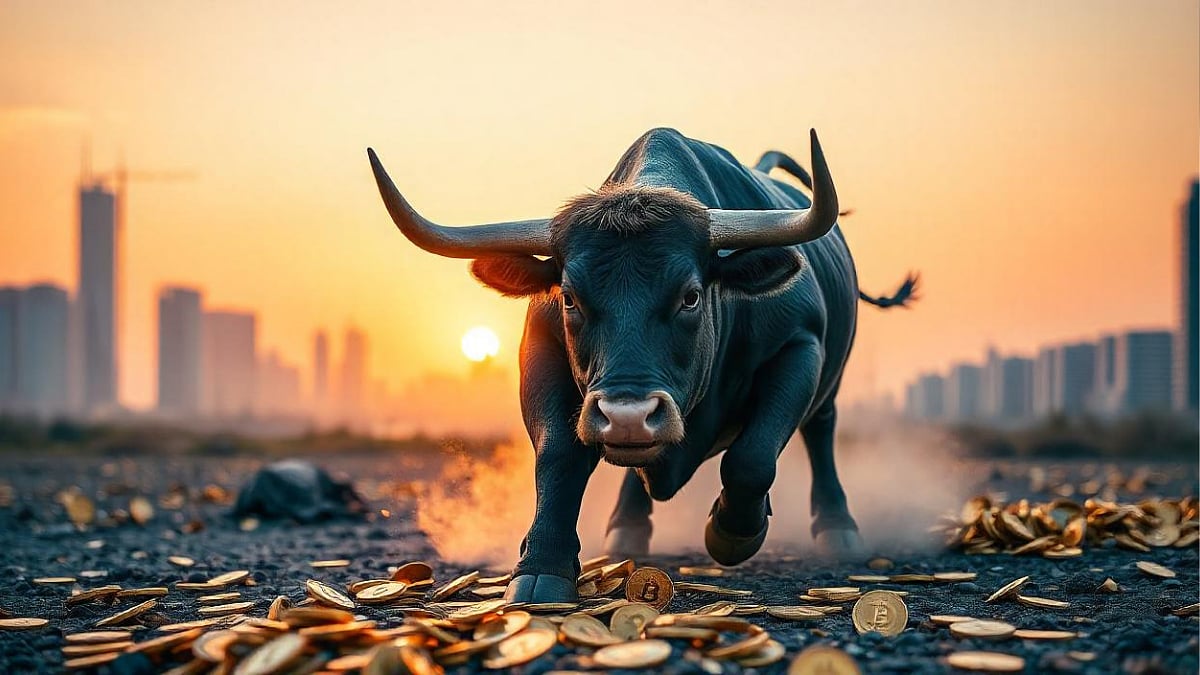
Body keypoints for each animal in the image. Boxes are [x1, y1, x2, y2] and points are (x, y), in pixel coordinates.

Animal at [367, 128, 917, 603]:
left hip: (830, 381)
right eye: (570, 297)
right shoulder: (542, 356)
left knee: (820, 431)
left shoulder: (800, 347)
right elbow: (559, 456)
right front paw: (542, 567)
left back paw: (838, 529)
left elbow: (753, 456)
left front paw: (733, 532)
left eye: (691, 296)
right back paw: (626, 529)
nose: (627, 415)